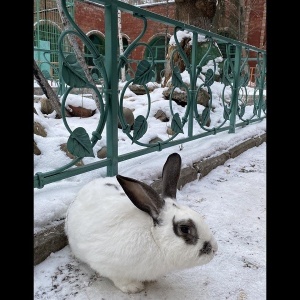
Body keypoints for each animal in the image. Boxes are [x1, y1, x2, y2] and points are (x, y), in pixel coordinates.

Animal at [65, 152, 218, 292]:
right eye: (184, 228)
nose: (215, 249)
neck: (154, 239)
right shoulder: (109, 265)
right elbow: (120, 279)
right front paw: (133, 288)